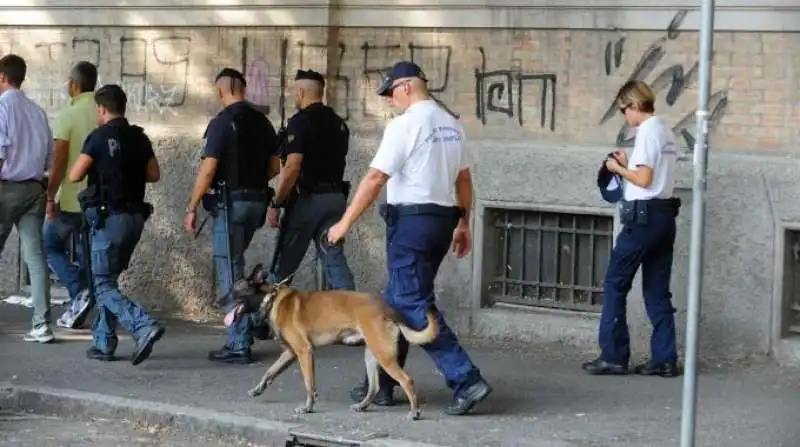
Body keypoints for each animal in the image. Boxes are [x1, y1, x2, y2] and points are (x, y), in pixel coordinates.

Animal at [223, 262, 438, 420]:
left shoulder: (304, 351)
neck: (272, 298)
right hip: (372, 355)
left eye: (235, 290)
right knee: (375, 386)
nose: (218, 301)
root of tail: (387, 308)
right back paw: (362, 406)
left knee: (406, 380)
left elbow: (309, 384)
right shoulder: (291, 353)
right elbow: (270, 371)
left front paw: (308, 408)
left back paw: (415, 412)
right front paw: (258, 389)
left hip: (383, 356)